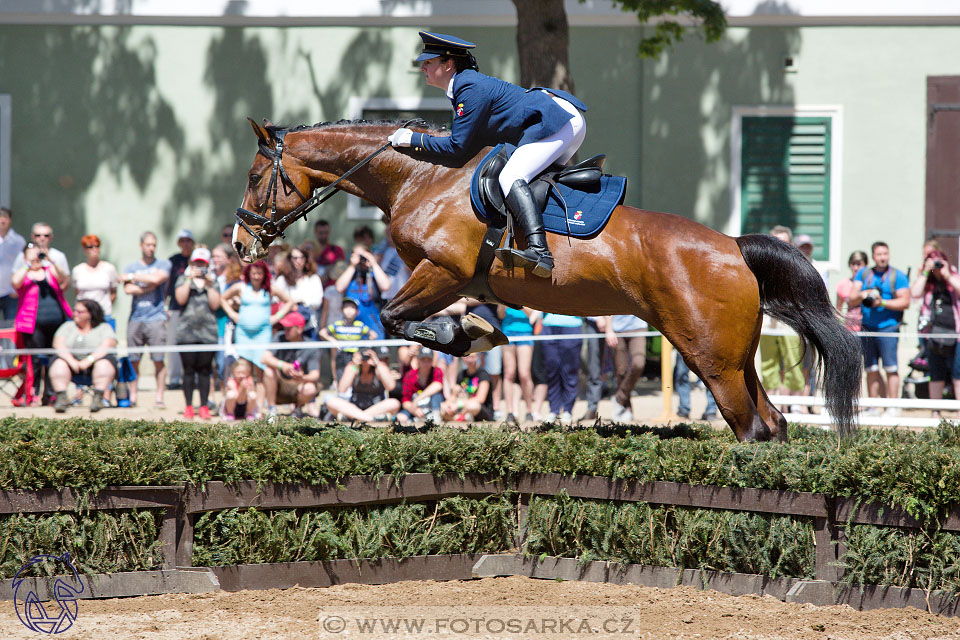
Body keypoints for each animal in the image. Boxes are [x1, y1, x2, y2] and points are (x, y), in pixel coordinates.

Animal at [234, 119, 864, 440]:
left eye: (255, 177)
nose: (241, 244)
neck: (420, 176)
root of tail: (734, 247)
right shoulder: (451, 280)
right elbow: (410, 321)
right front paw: (475, 329)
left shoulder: (442, 271)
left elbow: (392, 317)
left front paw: (470, 336)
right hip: (736, 358)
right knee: (772, 422)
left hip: (712, 359)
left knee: (750, 427)